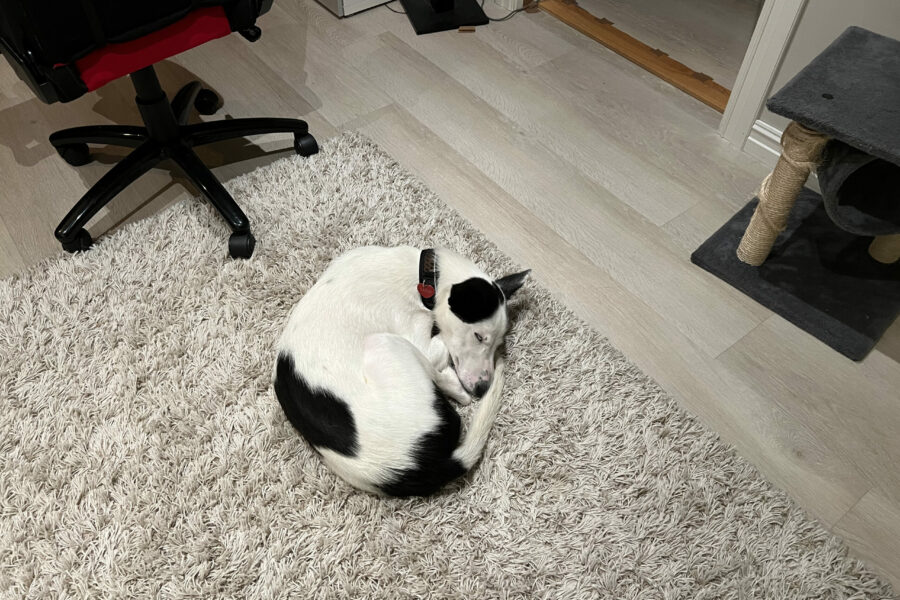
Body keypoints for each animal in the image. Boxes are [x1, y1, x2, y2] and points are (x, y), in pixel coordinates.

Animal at [274, 245, 528, 496]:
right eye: (479, 336)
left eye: (498, 342)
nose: (482, 388)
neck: (421, 276)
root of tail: (407, 468)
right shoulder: (420, 339)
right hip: (383, 342)